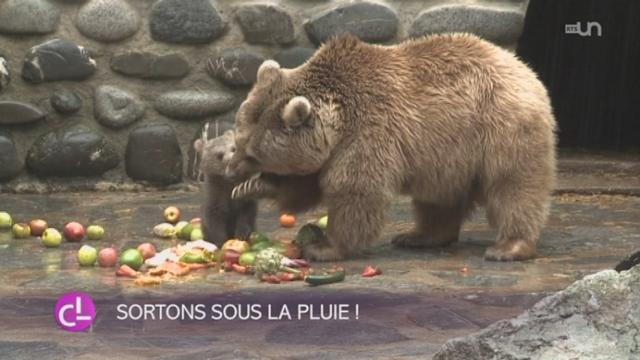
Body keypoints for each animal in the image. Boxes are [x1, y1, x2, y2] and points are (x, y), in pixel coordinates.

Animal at [225, 33, 556, 262]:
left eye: (252, 152)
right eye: (239, 139)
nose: (232, 168)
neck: (337, 121)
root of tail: (523, 68)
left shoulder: (369, 133)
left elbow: (355, 190)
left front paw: (324, 246)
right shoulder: (330, 149)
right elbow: (305, 184)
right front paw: (253, 187)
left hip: (500, 127)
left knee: (513, 187)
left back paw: (509, 246)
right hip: (449, 154)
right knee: (439, 198)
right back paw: (420, 236)